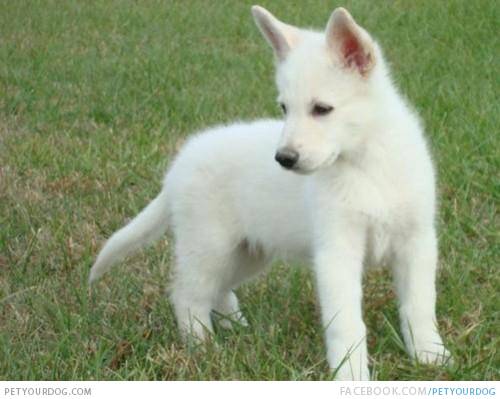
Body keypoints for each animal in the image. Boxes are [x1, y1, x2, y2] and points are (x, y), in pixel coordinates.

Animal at [89, 5, 450, 382]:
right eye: (284, 108)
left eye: (322, 109)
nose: (284, 158)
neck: (366, 164)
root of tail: (178, 168)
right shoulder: (337, 251)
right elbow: (347, 323)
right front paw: (350, 374)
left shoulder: (416, 242)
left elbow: (419, 306)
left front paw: (429, 356)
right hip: (209, 247)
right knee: (187, 295)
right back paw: (203, 348)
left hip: (246, 253)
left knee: (218, 290)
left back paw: (236, 326)